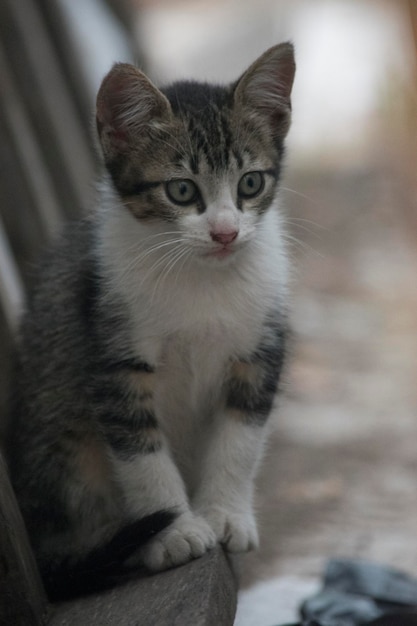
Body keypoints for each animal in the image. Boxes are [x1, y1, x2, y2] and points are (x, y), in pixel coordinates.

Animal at [6, 41, 294, 596]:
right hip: (61, 447)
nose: (225, 233)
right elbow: (140, 451)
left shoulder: (260, 348)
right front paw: (175, 531)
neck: (201, 278)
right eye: (181, 191)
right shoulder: (110, 351)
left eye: (250, 183)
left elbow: (241, 439)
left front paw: (224, 514)